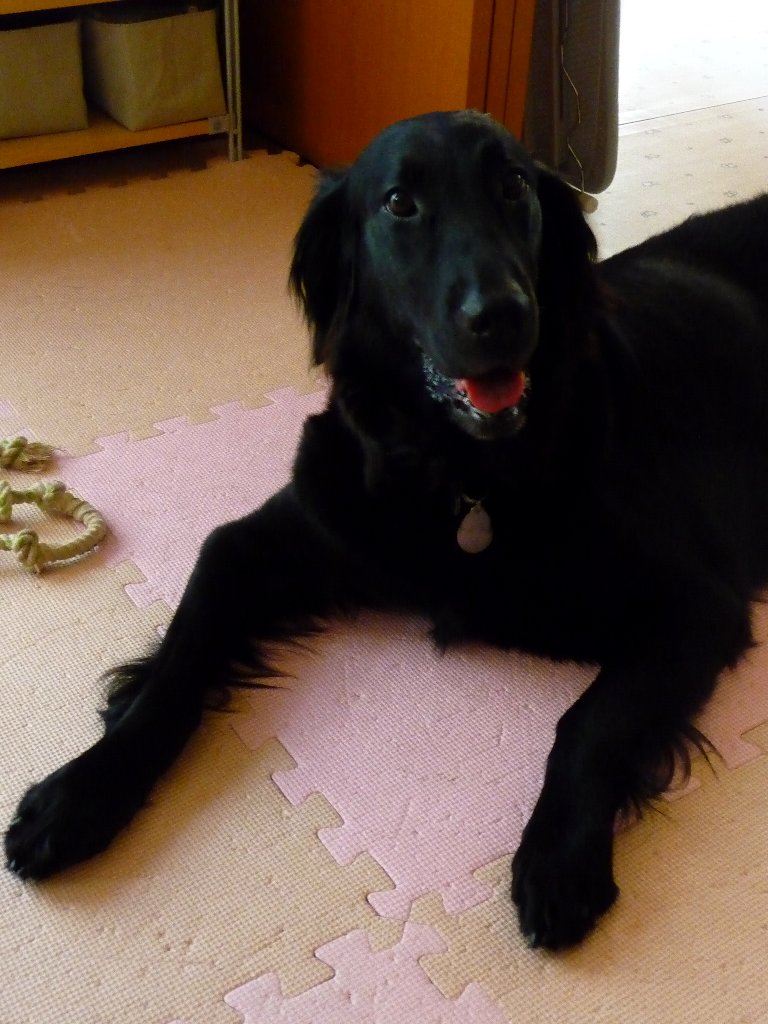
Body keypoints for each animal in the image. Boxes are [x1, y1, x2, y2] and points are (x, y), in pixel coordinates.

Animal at [6, 110, 768, 950]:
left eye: (514, 186)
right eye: (401, 203)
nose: (502, 315)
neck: (460, 471)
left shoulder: (696, 605)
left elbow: (589, 722)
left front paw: (559, 858)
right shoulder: (263, 536)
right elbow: (173, 668)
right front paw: (78, 795)